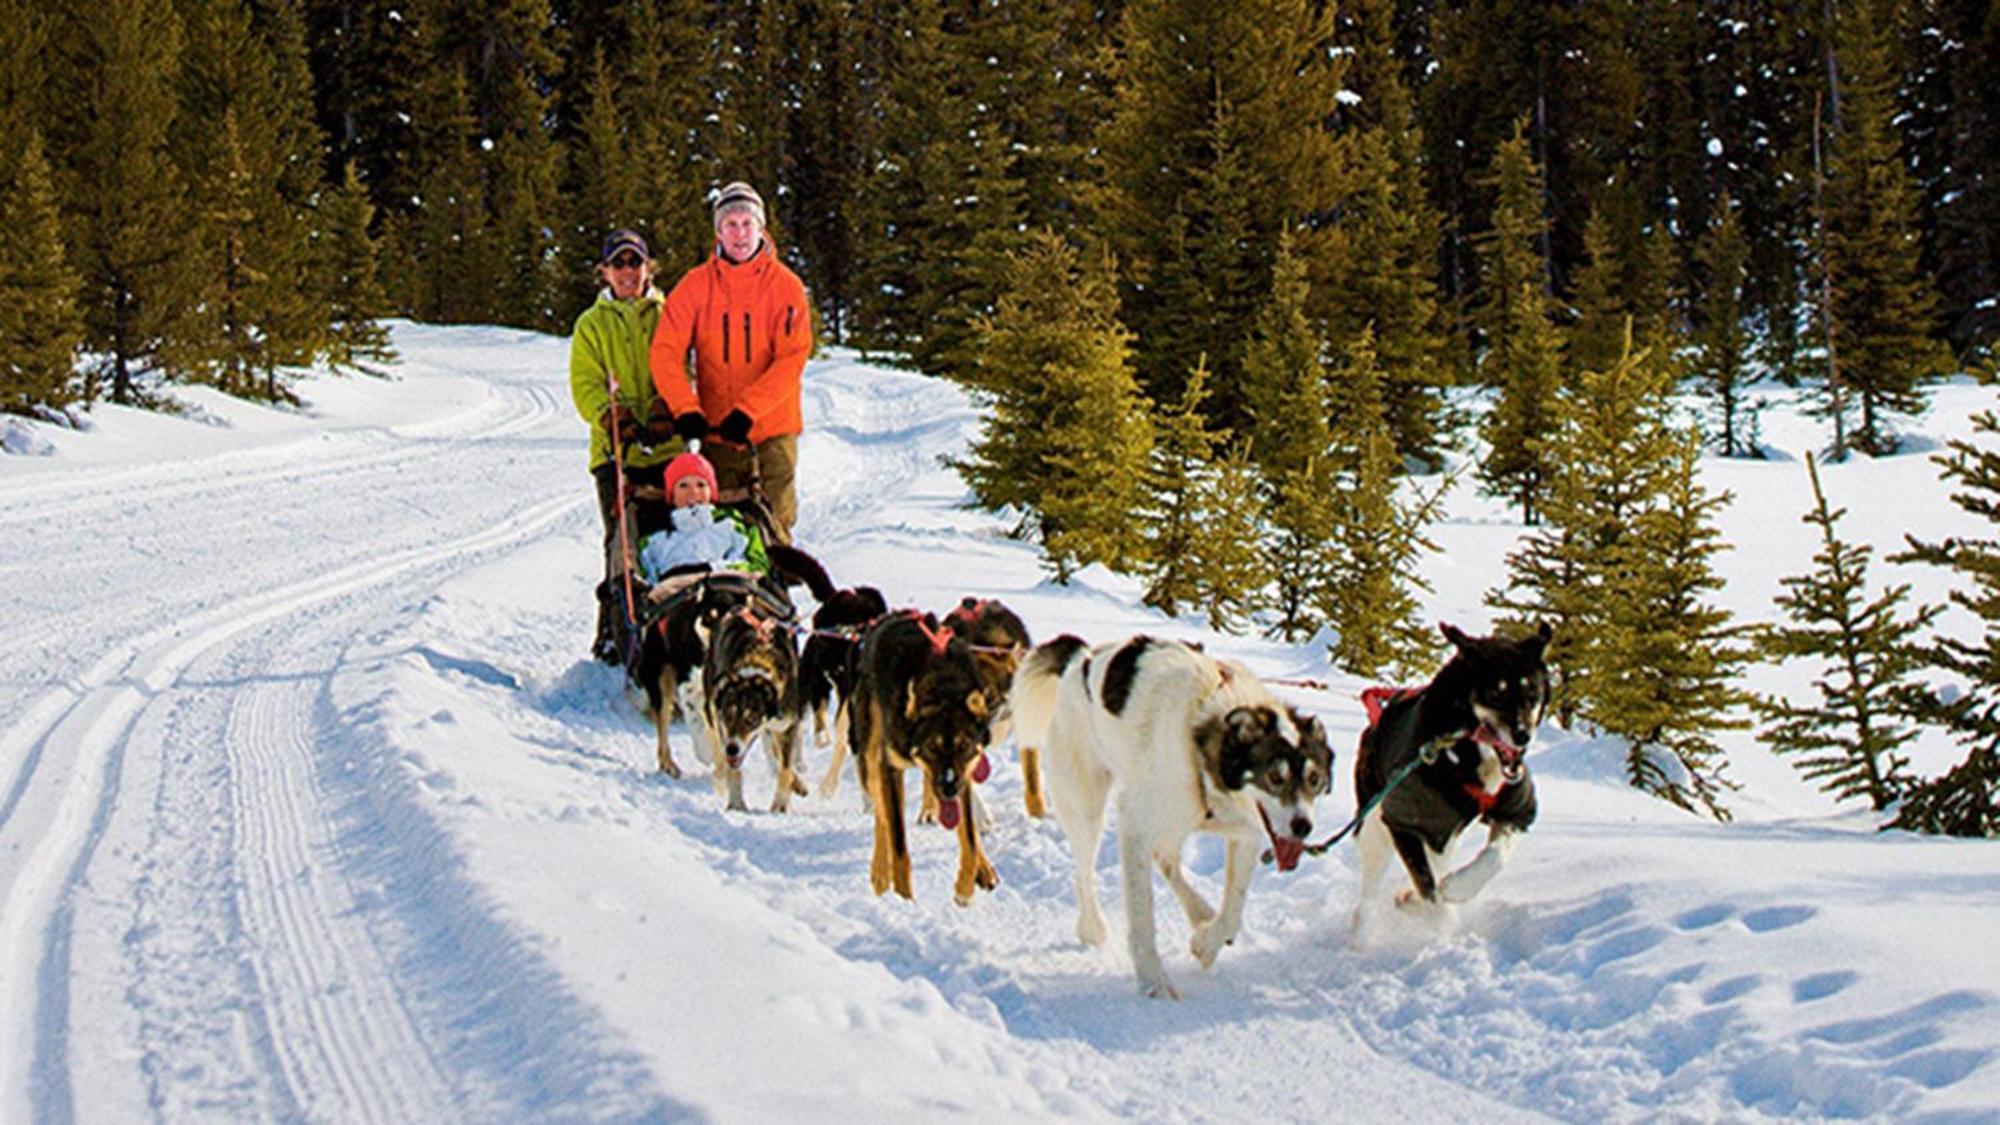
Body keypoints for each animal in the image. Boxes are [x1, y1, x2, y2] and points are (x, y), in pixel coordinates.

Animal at [696, 604, 804, 804]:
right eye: (728, 715)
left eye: (751, 719)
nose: (732, 749)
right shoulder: (722, 725)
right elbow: (734, 770)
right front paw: (736, 804)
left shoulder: (787, 726)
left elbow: (785, 769)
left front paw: (780, 806)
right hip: (711, 710)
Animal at [848, 604, 996, 900]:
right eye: (931, 746)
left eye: (964, 746)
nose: (949, 788)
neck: (942, 687)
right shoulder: (890, 767)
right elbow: (897, 841)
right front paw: (903, 898)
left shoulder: (963, 772)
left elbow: (969, 837)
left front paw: (965, 887)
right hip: (870, 757)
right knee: (881, 815)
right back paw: (880, 871)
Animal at [1016, 636, 1328, 992]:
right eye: (1275, 777)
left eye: (1314, 779)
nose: (1303, 826)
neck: (1199, 738)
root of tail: (1081, 657)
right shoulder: (1135, 823)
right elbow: (1142, 915)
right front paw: (1153, 979)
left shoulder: (1245, 832)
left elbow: (1233, 910)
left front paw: (1207, 943)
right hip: (1087, 806)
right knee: (1085, 870)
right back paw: (1092, 927)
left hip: (1176, 819)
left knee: (1165, 857)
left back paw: (1200, 912)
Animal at [1352, 616, 1552, 940]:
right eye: (1496, 693)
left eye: (1532, 693)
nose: (1523, 736)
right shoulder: (1404, 824)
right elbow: (1430, 893)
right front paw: (1440, 919)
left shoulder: (1513, 811)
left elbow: (1494, 858)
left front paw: (1457, 888)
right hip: (1375, 825)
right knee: (1371, 886)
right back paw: (1362, 933)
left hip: (1443, 835)